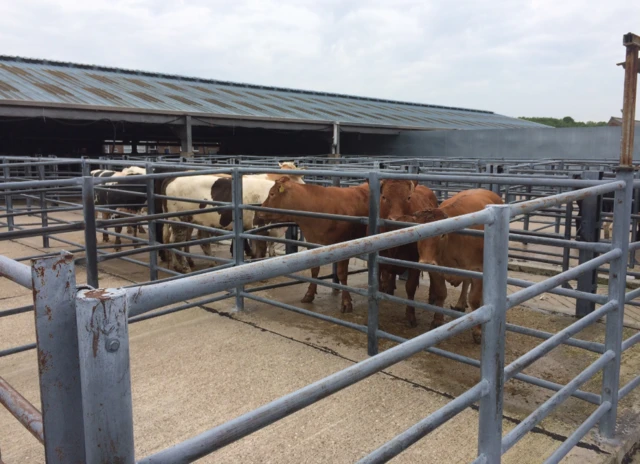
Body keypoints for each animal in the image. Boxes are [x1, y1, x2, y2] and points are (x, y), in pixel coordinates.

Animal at [252, 176, 368, 314]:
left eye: (272, 194)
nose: (259, 212)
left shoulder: (345, 245)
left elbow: (342, 274)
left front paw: (346, 302)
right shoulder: (313, 244)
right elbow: (314, 269)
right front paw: (309, 294)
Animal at [378, 179, 438, 328]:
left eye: (408, 198)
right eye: (384, 197)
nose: (395, 219)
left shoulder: (415, 261)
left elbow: (410, 287)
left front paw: (411, 316)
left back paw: (432, 297)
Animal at [398, 188, 502, 344]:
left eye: (442, 235)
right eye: (418, 233)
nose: (426, 262)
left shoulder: (477, 270)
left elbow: (475, 300)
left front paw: (477, 331)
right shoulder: (436, 270)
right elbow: (441, 293)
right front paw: (437, 321)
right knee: (465, 283)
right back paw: (460, 304)